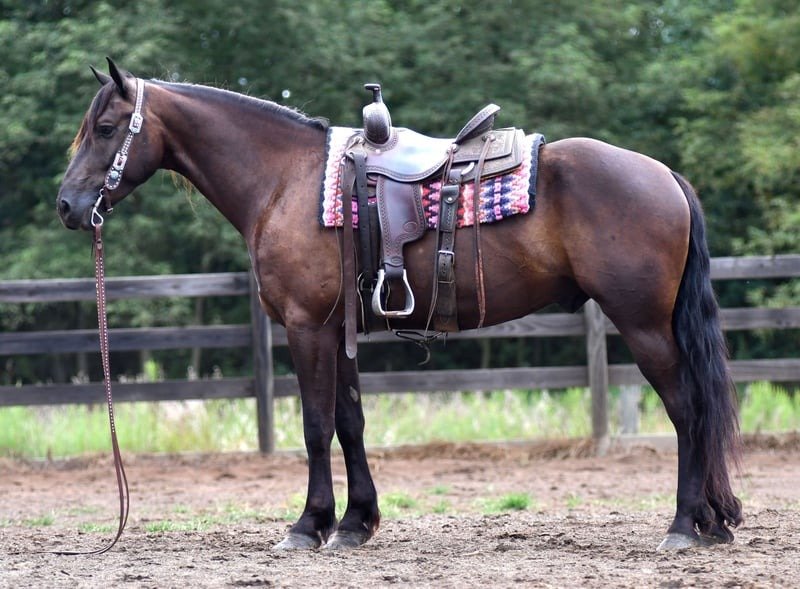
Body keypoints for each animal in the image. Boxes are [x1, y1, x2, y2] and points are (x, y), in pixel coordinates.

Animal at [57, 58, 742, 551]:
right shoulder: (338, 331)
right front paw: (355, 523)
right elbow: (350, 422)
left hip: (644, 325)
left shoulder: (306, 329)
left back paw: (685, 525)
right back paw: (715, 521)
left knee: (688, 410)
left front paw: (308, 526)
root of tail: (665, 175)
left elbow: (315, 426)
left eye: (107, 129)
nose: (67, 205)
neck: (285, 180)